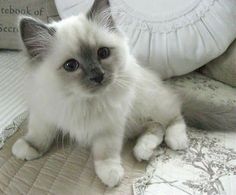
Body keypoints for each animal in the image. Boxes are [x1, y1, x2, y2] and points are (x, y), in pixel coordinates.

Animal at [12, 0, 188, 187]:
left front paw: (110, 174)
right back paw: (143, 150)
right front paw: (28, 147)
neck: (80, 101)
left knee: (173, 117)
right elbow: (39, 134)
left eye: (103, 53)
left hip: (153, 104)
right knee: (155, 127)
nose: (98, 76)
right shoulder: (44, 113)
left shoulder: (109, 125)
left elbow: (105, 153)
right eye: (70, 65)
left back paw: (175, 141)